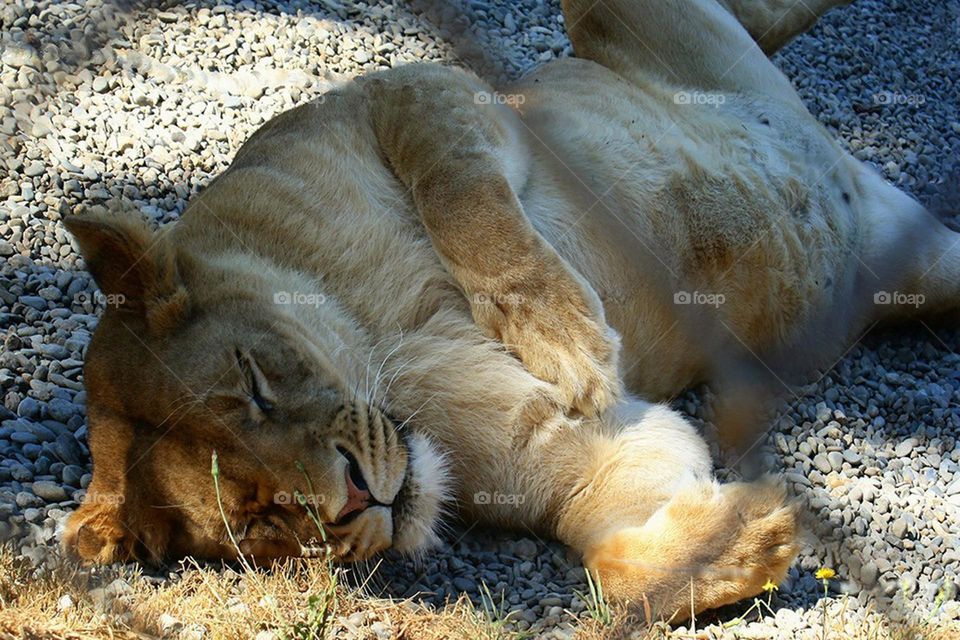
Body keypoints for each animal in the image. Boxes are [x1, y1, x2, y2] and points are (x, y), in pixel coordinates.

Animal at [61, 0, 957, 622]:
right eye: (253, 522)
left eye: (256, 388)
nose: (357, 502)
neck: (373, 345)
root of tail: (845, 161)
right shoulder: (571, 459)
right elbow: (615, 561)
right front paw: (748, 538)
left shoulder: (418, 92)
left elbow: (466, 202)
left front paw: (569, 342)